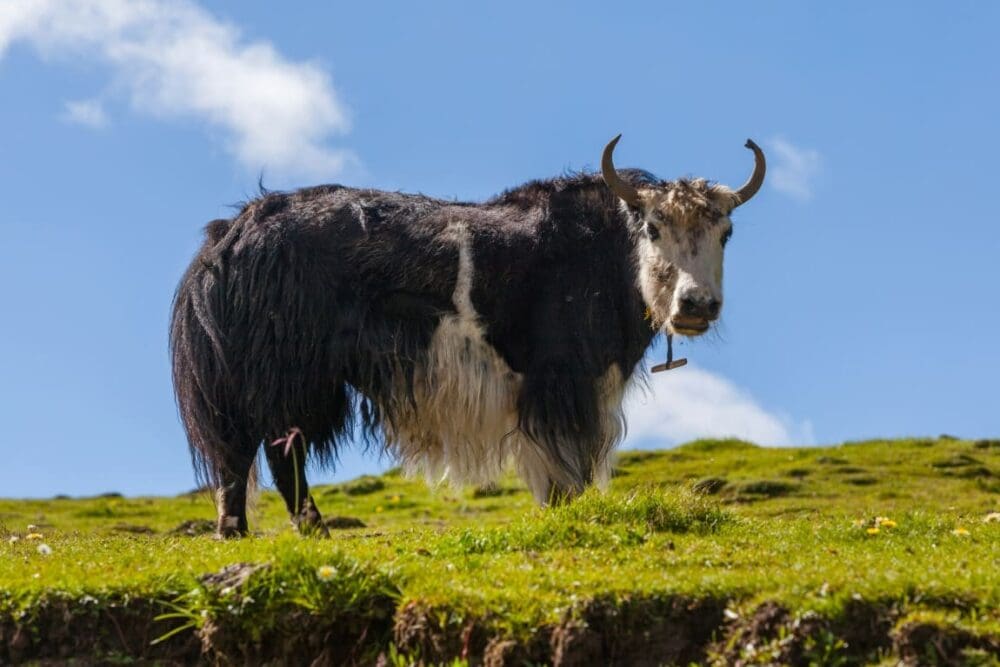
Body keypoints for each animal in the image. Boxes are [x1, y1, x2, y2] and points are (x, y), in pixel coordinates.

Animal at [170, 135, 765, 537]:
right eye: (654, 229)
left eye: (725, 233)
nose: (696, 305)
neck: (608, 255)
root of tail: (232, 233)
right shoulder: (561, 382)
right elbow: (566, 465)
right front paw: (566, 517)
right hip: (285, 377)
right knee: (272, 453)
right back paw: (311, 530)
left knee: (237, 457)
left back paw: (237, 533)